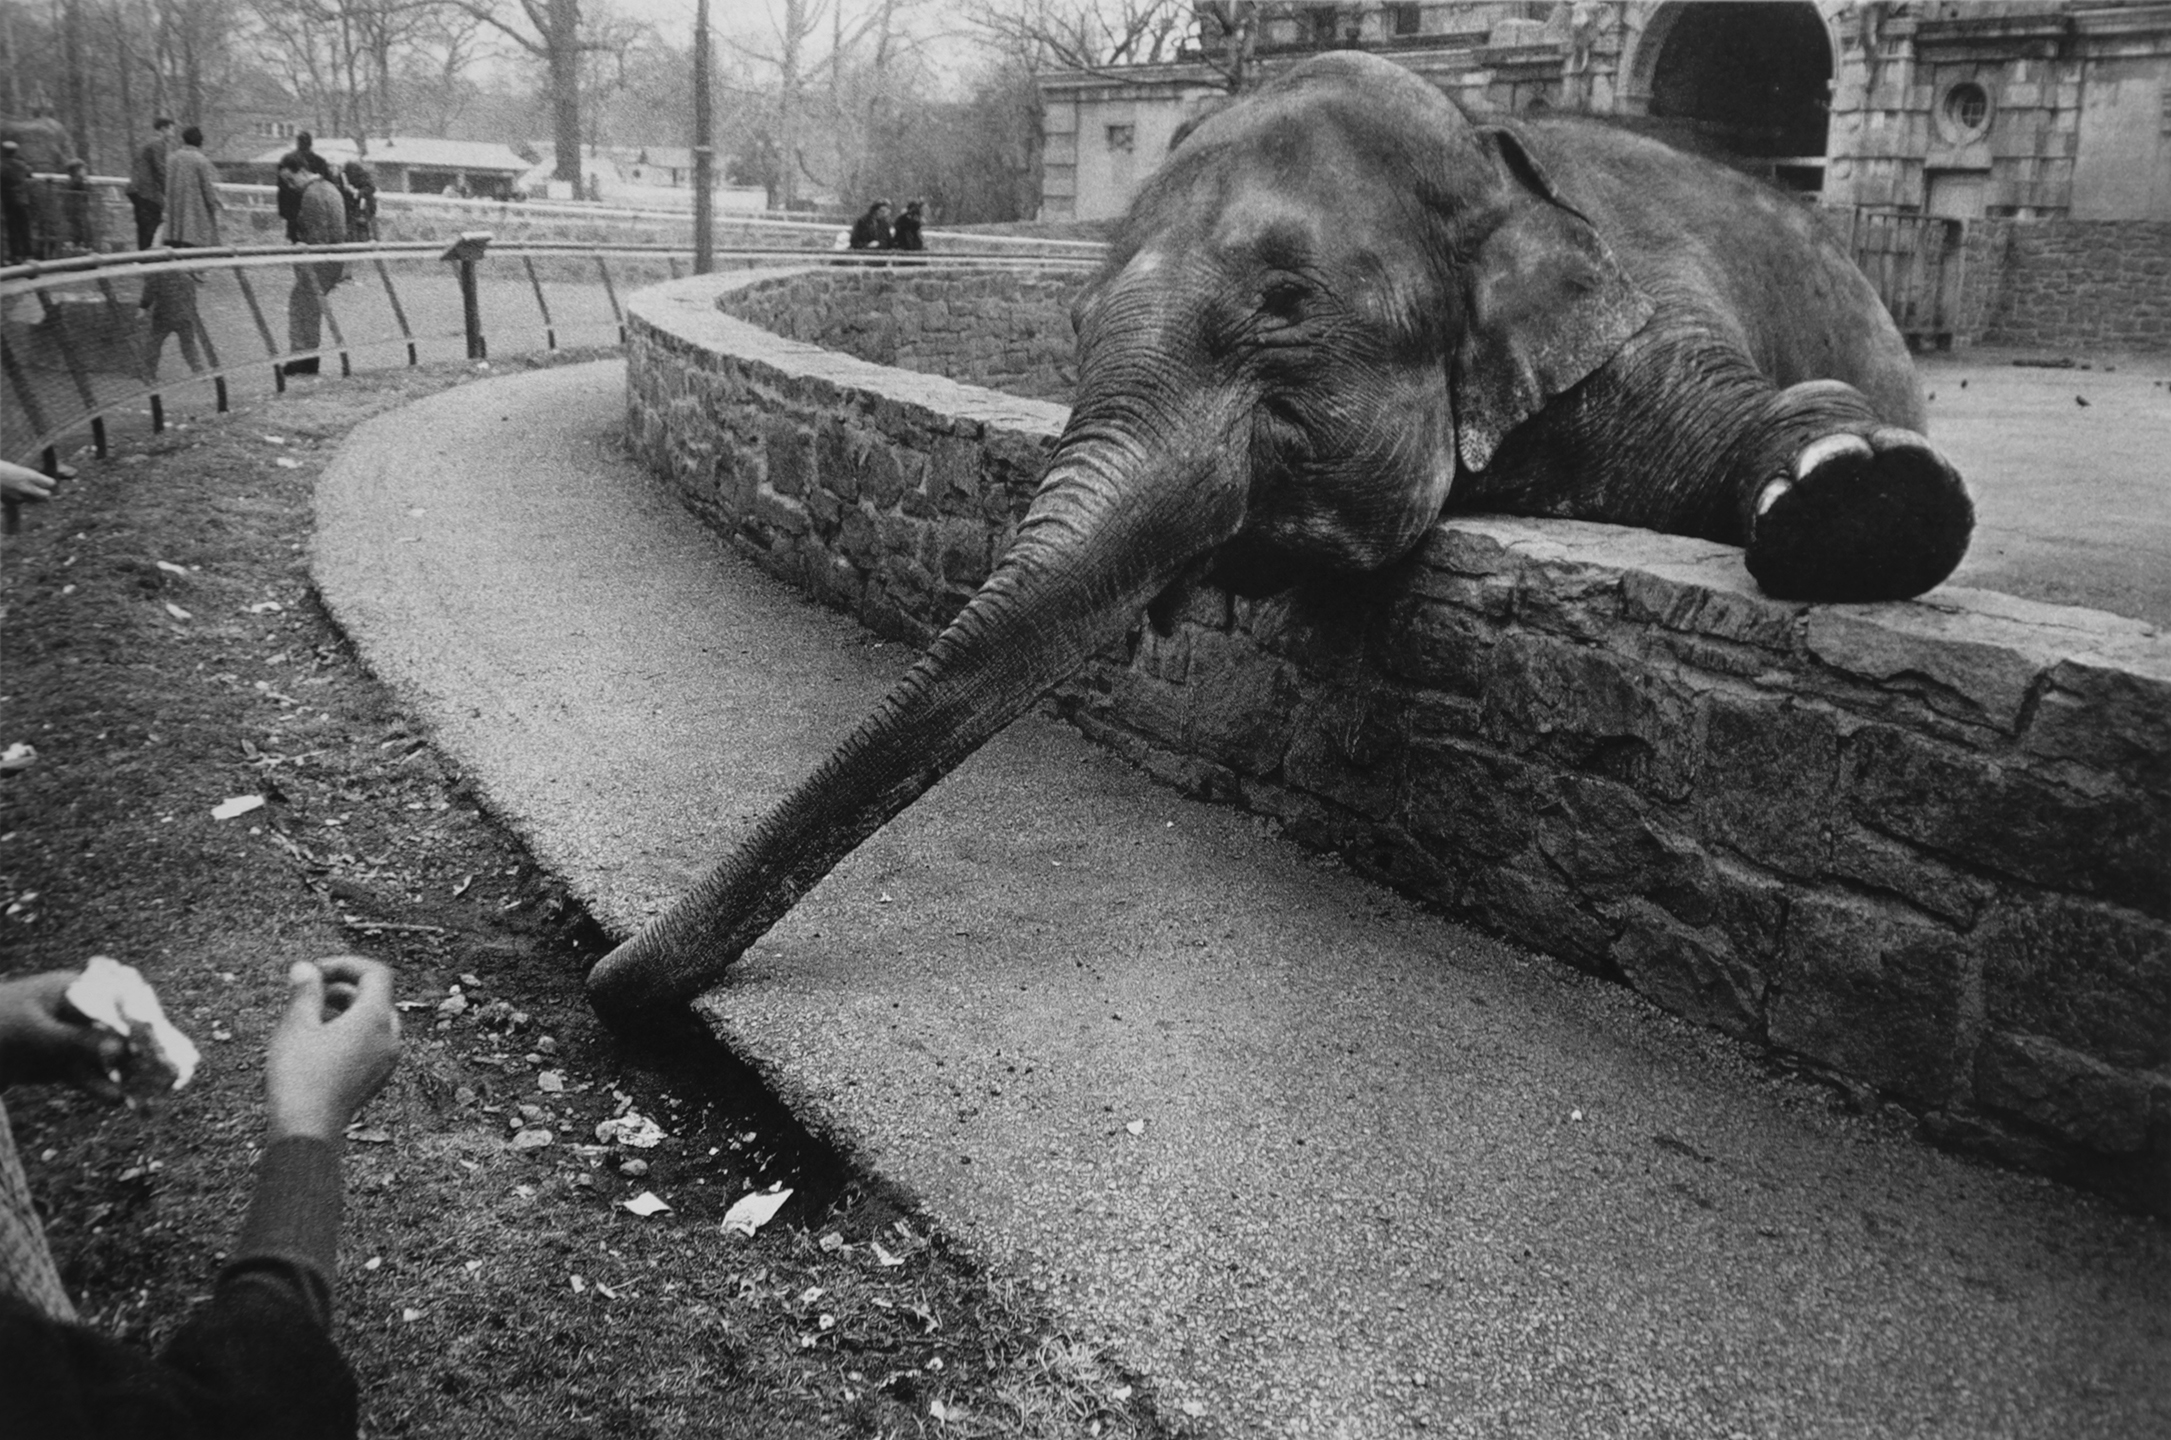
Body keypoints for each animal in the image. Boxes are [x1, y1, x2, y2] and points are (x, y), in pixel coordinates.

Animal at [586, 50, 1979, 1020]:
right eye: (1073, 323)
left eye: (1284, 304)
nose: (606, 979)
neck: (1490, 154)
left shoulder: (1646, 318)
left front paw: (1859, 505)